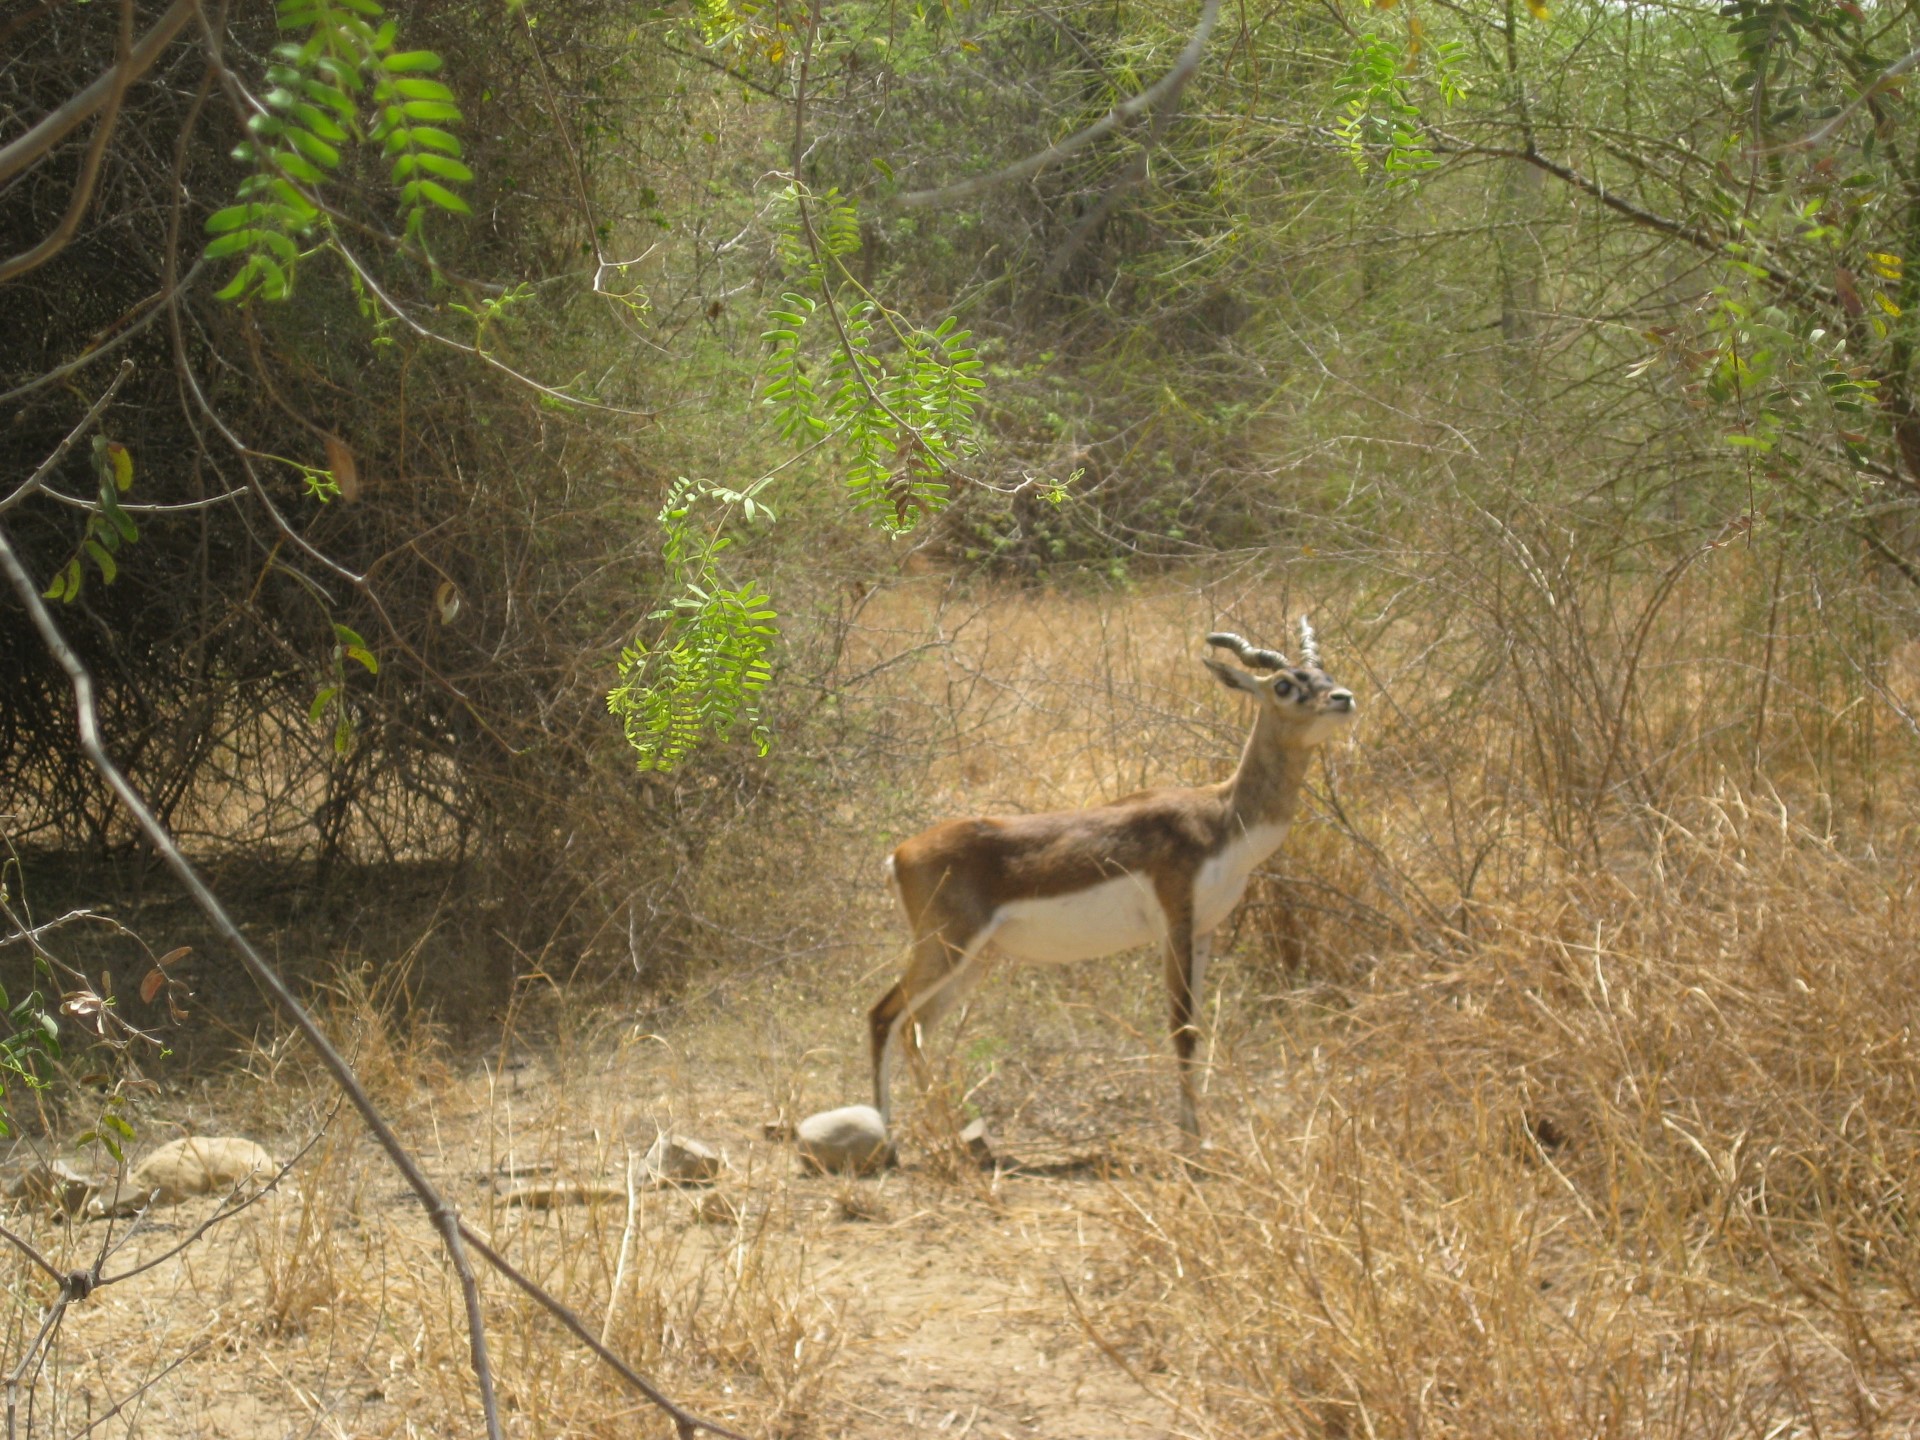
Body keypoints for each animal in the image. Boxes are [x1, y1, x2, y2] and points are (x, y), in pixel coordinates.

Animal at [871, 625, 1351, 1144]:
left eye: (1326, 675)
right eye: (1283, 684)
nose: (1343, 698)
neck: (1221, 818)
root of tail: (899, 854)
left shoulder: (1204, 930)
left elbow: (1196, 1025)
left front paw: (1197, 1130)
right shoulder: (1174, 923)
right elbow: (1181, 1027)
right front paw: (1189, 1138)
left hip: (974, 958)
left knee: (914, 1027)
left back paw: (950, 1128)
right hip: (946, 947)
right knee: (884, 1015)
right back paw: (887, 1134)